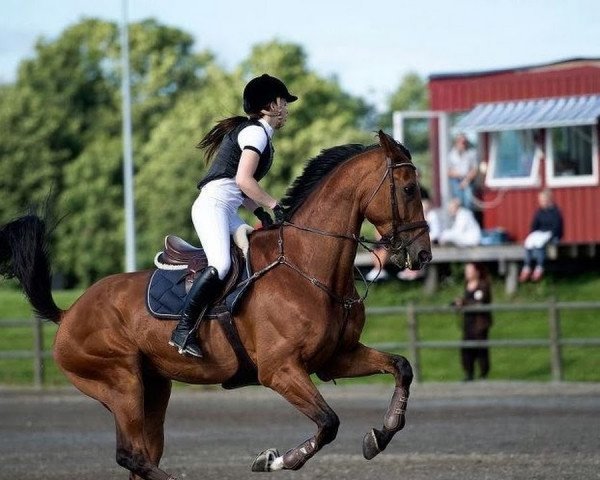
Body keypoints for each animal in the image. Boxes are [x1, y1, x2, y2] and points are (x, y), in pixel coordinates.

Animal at [0, 131, 432, 480]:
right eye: (409, 189)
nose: (423, 254)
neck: (307, 266)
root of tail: (68, 314)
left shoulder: (336, 358)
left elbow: (401, 367)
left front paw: (380, 435)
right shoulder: (280, 370)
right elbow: (328, 422)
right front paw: (273, 460)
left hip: (152, 389)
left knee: (141, 458)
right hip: (120, 384)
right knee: (132, 457)